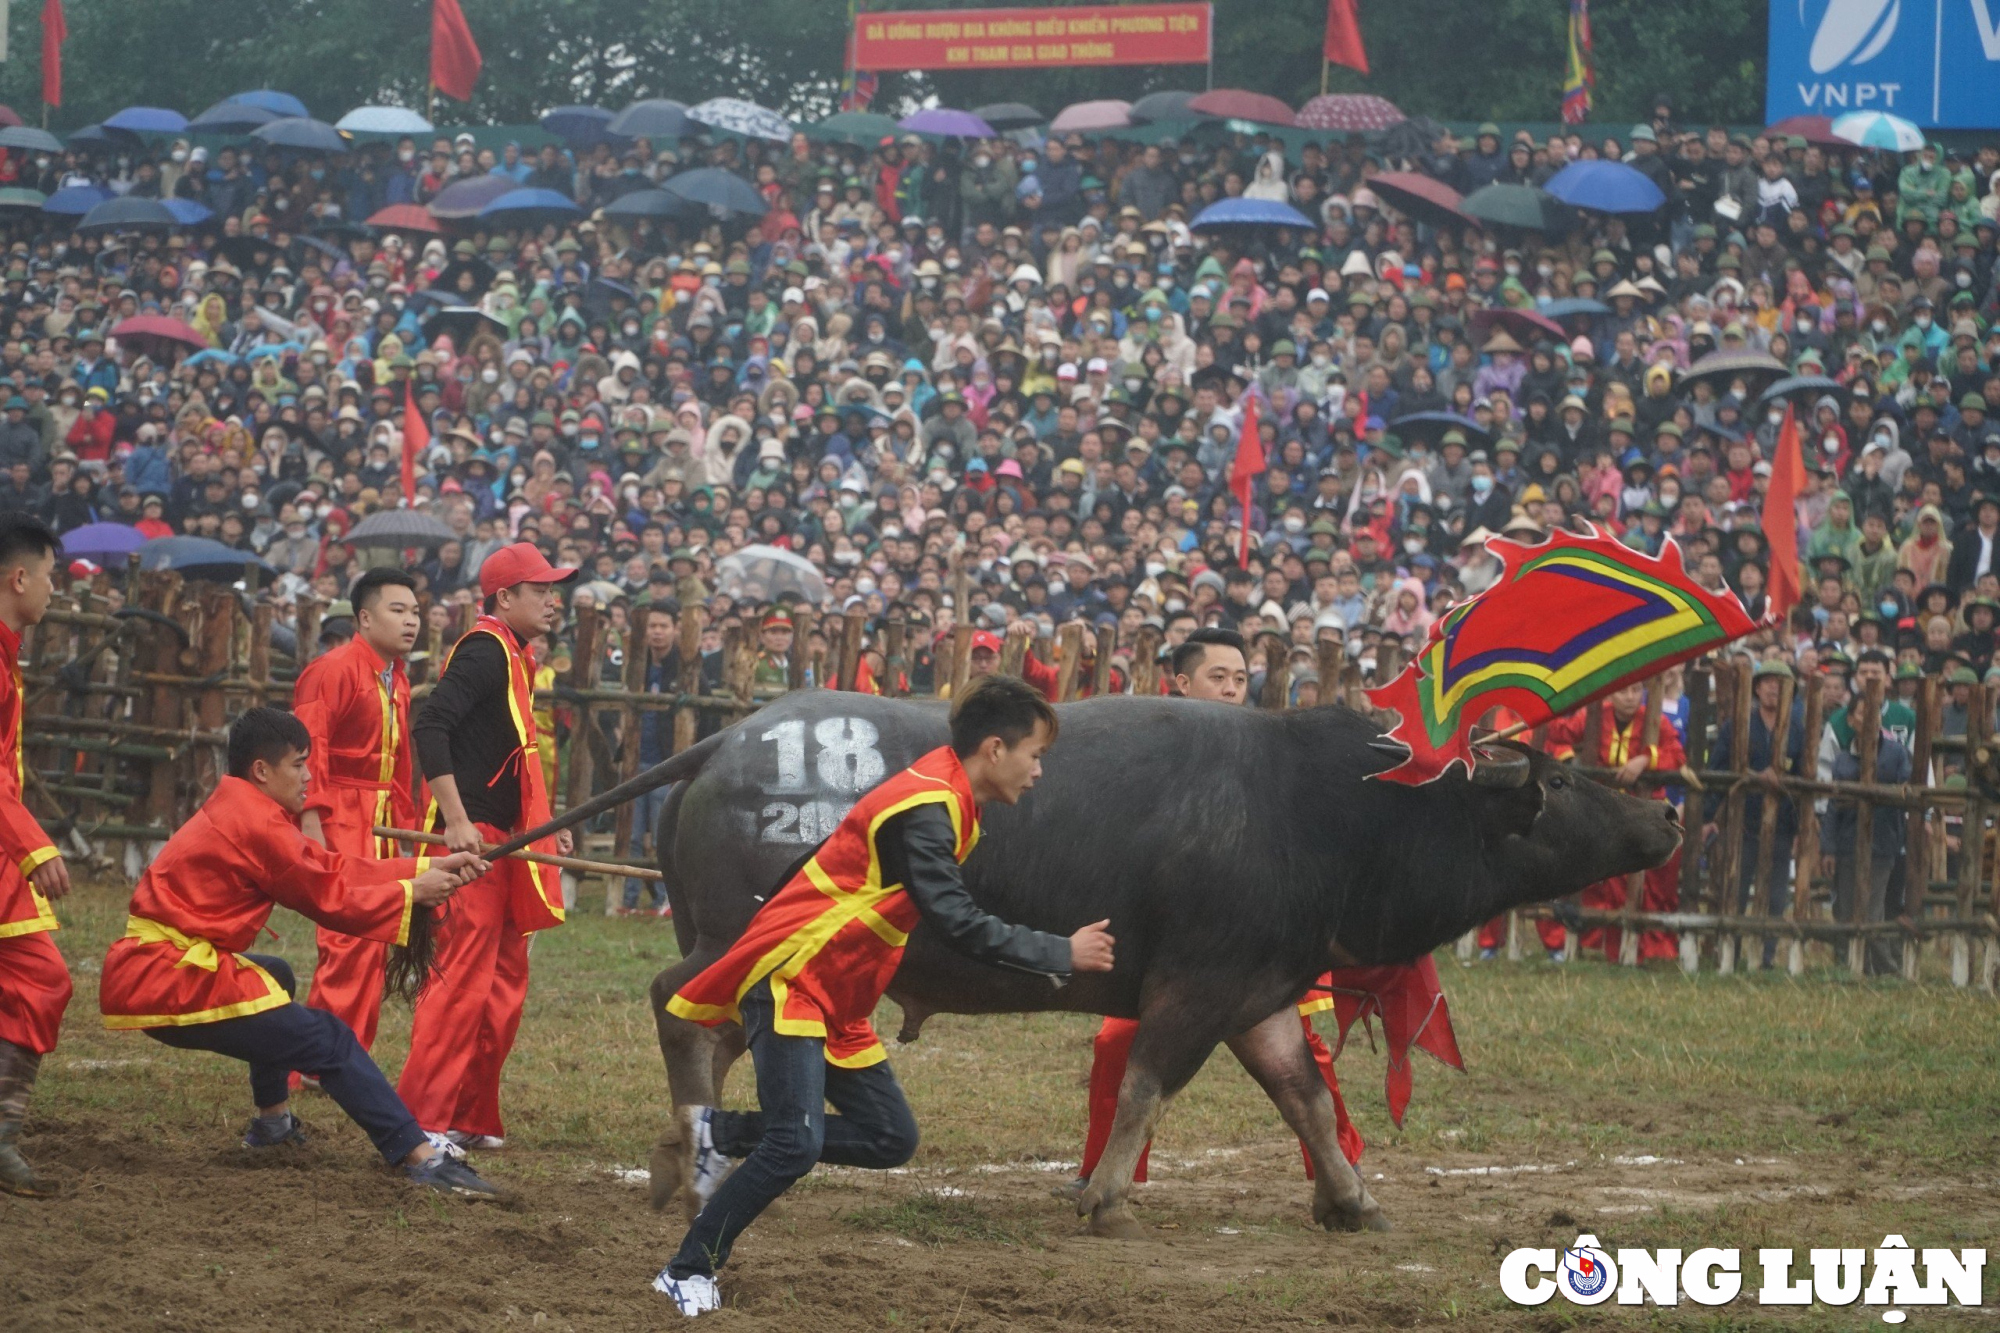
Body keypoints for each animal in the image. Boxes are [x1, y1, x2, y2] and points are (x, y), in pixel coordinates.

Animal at [528, 688, 1672, 1232]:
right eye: (1566, 780)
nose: (1661, 815)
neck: (1327, 811)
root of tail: (725, 742)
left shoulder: (1256, 989)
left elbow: (1303, 1095)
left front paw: (1350, 1198)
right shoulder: (1196, 985)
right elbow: (1147, 1083)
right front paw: (1104, 1196)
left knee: (708, 1037)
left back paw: (687, 1159)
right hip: (737, 940)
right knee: (676, 1009)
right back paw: (688, 1162)